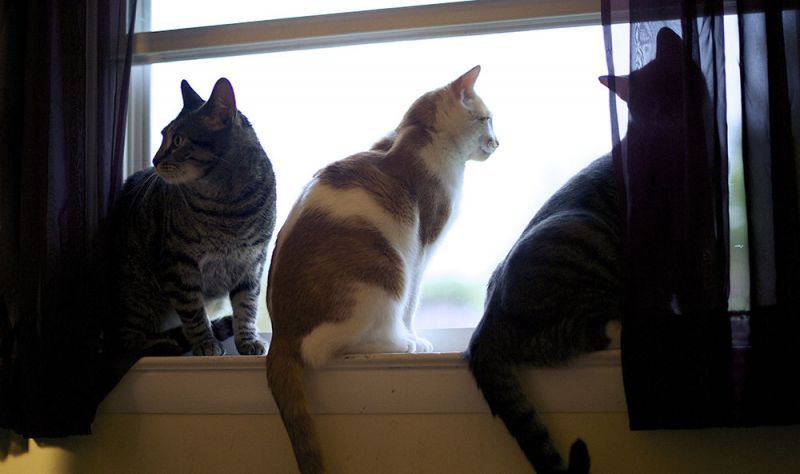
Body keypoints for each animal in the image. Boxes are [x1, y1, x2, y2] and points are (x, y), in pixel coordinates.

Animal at [111, 78, 276, 358]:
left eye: (177, 140)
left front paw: (247, 340)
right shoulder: (178, 263)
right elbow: (193, 310)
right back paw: (163, 344)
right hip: (136, 292)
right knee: (127, 340)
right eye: (163, 137)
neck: (228, 205)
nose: (155, 159)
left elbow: (247, 305)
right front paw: (206, 343)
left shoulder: (253, 261)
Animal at [266, 66, 496, 474]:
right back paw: (403, 343)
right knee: (344, 343)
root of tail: (280, 335)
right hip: (388, 271)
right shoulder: (422, 247)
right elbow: (413, 303)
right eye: (486, 119)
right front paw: (416, 335)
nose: (497, 142)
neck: (415, 134)